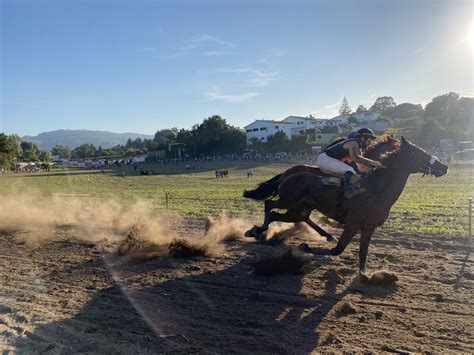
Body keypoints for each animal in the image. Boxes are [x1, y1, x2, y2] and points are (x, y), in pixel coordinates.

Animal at [244, 138, 448, 272]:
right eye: (418, 152)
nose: (444, 167)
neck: (376, 190)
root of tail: (288, 175)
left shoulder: (368, 227)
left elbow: (363, 255)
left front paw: (365, 277)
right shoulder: (353, 224)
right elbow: (337, 250)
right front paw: (305, 247)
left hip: (297, 209)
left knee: (288, 215)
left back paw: (259, 231)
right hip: (288, 200)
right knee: (269, 204)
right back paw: (258, 230)